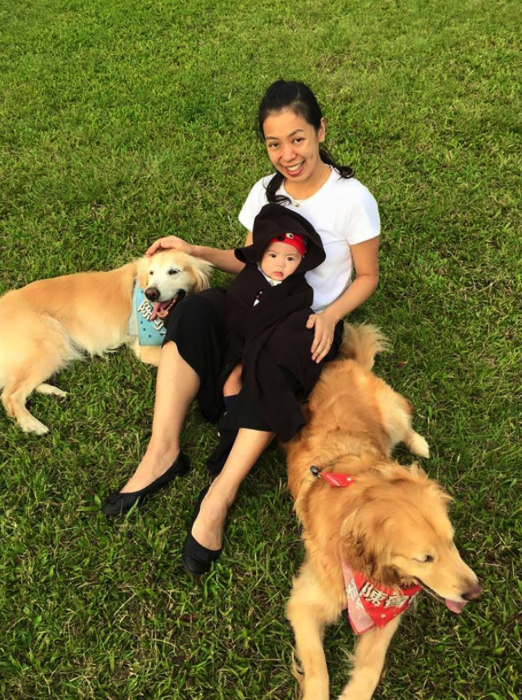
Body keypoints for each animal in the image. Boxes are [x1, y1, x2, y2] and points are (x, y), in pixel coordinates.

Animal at [0, 249, 211, 434]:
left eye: (173, 271)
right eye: (152, 273)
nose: (151, 293)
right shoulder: (145, 348)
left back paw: (53, 392)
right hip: (51, 343)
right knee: (11, 394)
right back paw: (31, 424)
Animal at [284, 326, 480, 700]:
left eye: (452, 542)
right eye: (425, 558)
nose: (474, 592)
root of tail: (342, 363)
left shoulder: (387, 613)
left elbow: (370, 670)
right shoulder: (305, 601)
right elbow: (318, 671)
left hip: (391, 412)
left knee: (406, 424)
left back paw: (419, 445)